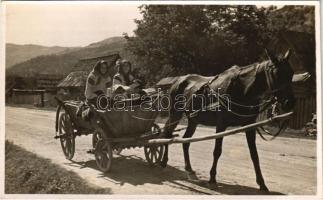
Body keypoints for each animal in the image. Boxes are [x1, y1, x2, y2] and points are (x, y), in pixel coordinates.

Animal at [161, 49, 308, 191]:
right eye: (276, 73)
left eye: (291, 73)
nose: (290, 102)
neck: (241, 89)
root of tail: (178, 80)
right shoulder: (221, 125)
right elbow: (217, 151)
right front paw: (212, 179)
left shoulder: (250, 126)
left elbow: (254, 155)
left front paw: (262, 183)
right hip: (175, 114)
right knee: (168, 134)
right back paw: (163, 161)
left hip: (193, 120)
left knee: (186, 141)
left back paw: (189, 170)